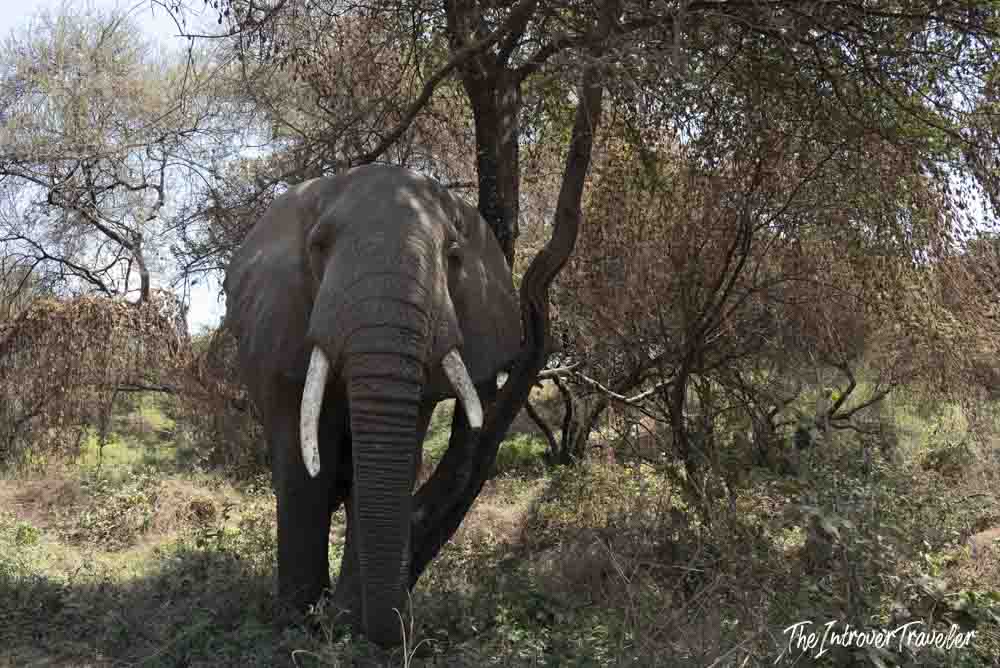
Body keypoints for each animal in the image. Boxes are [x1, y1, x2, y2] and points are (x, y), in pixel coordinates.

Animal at [223, 164, 521, 645]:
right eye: (318, 247)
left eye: (453, 255)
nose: (398, 632)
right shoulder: (281, 322)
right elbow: (301, 468)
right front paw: (299, 622)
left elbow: (388, 468)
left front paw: (344, 624)